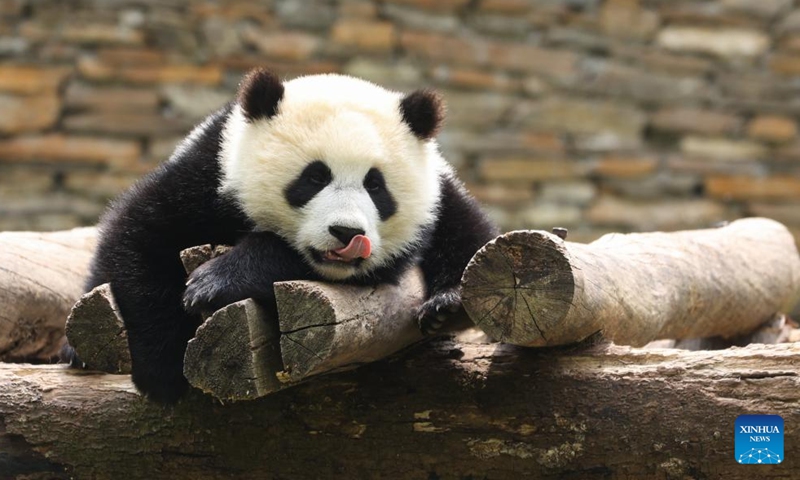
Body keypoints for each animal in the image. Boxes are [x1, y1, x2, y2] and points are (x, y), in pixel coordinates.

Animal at [65, 69, 498, 403]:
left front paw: (216, 282)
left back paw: (446, 304)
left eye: (376, 186)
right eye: (314, 177)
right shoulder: (208, 172)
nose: (347, 233)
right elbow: (140, 236)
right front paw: (162, 373)